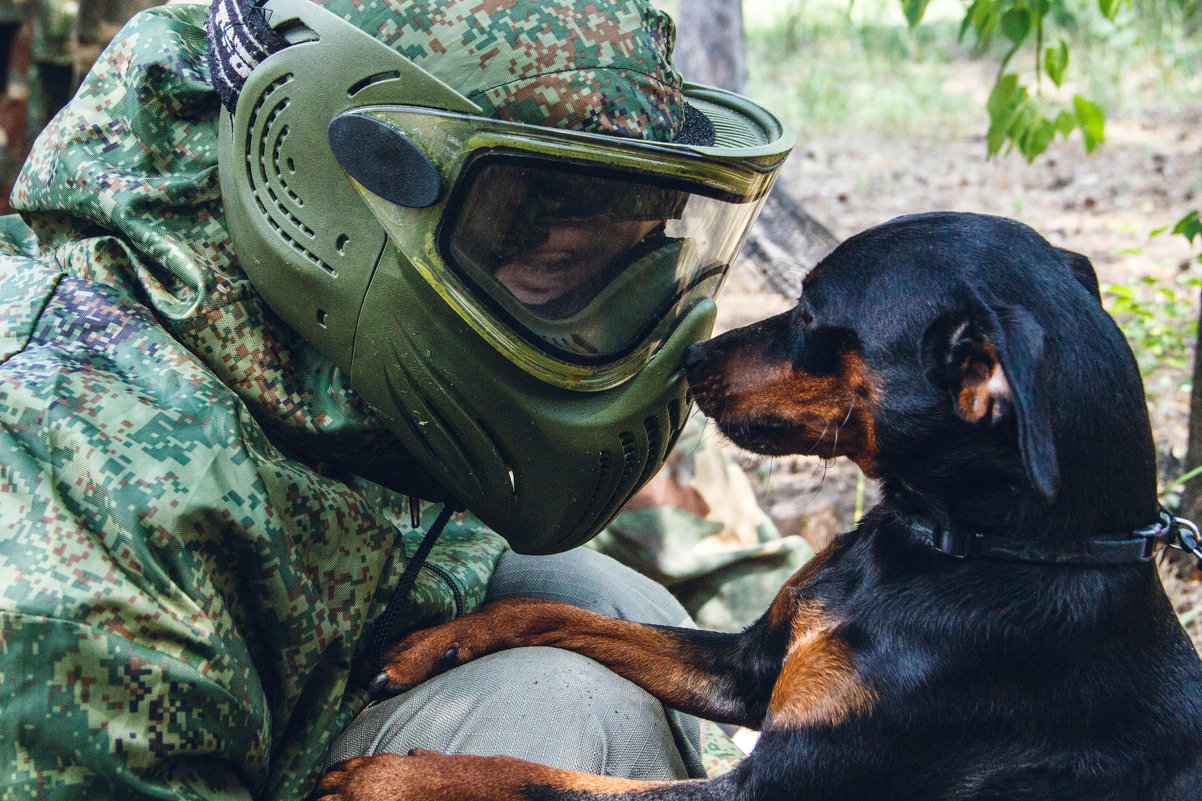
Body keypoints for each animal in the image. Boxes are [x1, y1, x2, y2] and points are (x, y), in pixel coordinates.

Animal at [312, 211, 1202, 798]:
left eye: (809, 311)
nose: (691, 357)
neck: (953, 547)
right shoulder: (744, 667)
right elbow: (554, 612)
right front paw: (432, 643)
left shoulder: (757, 788)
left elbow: (531, 777)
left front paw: (389, 776)